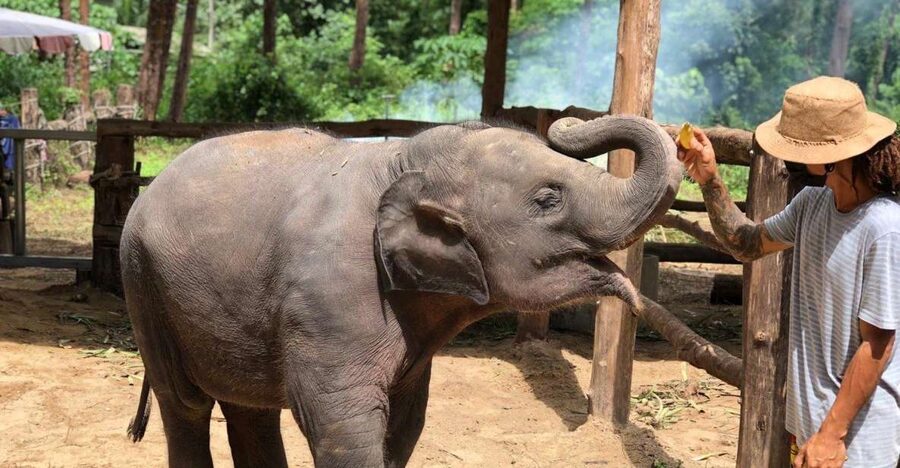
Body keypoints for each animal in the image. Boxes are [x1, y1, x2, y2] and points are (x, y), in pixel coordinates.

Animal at [120, 114, 681, 467]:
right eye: (548, 199)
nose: (565, 125)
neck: (401, 158)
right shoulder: (327, 302)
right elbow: (343, 427)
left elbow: (407, 424)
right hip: (142, 283)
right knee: (186, 406)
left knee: (249, 410)